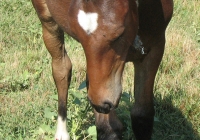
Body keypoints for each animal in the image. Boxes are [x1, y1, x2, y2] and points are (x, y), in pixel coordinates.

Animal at [31, 0, 173, 139]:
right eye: (79, 36)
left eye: (119, 34)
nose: (101, 104)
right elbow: (108, 128)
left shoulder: (154, 47)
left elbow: (142, 115)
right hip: (47, 20)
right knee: (61, 69)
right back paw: (62, 133)